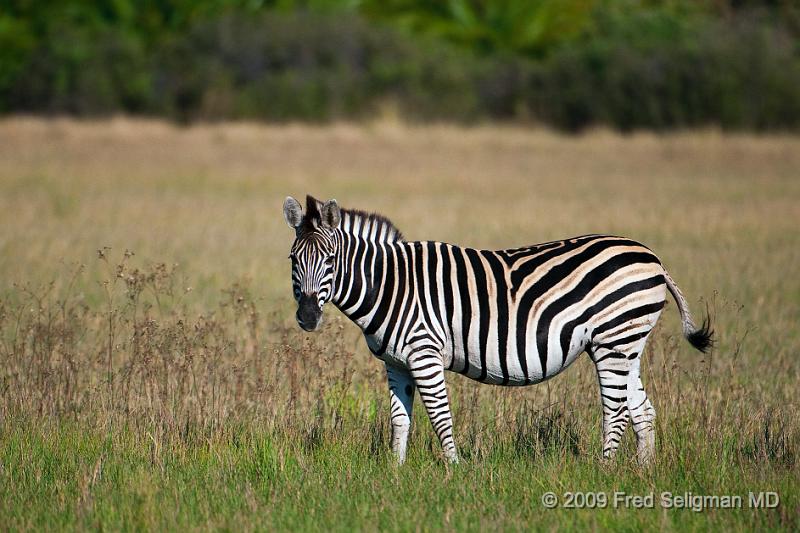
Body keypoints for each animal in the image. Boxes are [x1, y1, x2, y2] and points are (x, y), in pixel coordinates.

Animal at [282, 193, 712, 464]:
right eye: (292, 259)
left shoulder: (424, 354)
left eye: (330, 259)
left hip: (614, 340)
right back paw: (642, 475)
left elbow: (440, 417)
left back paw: (604, 472)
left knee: (617, 411)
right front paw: (395, 474)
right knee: (642, 411)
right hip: (625, 345)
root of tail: (652, 258)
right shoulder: (396, 363)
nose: (308, 317)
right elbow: (400, 420)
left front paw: (453, 472)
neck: (391, 285)